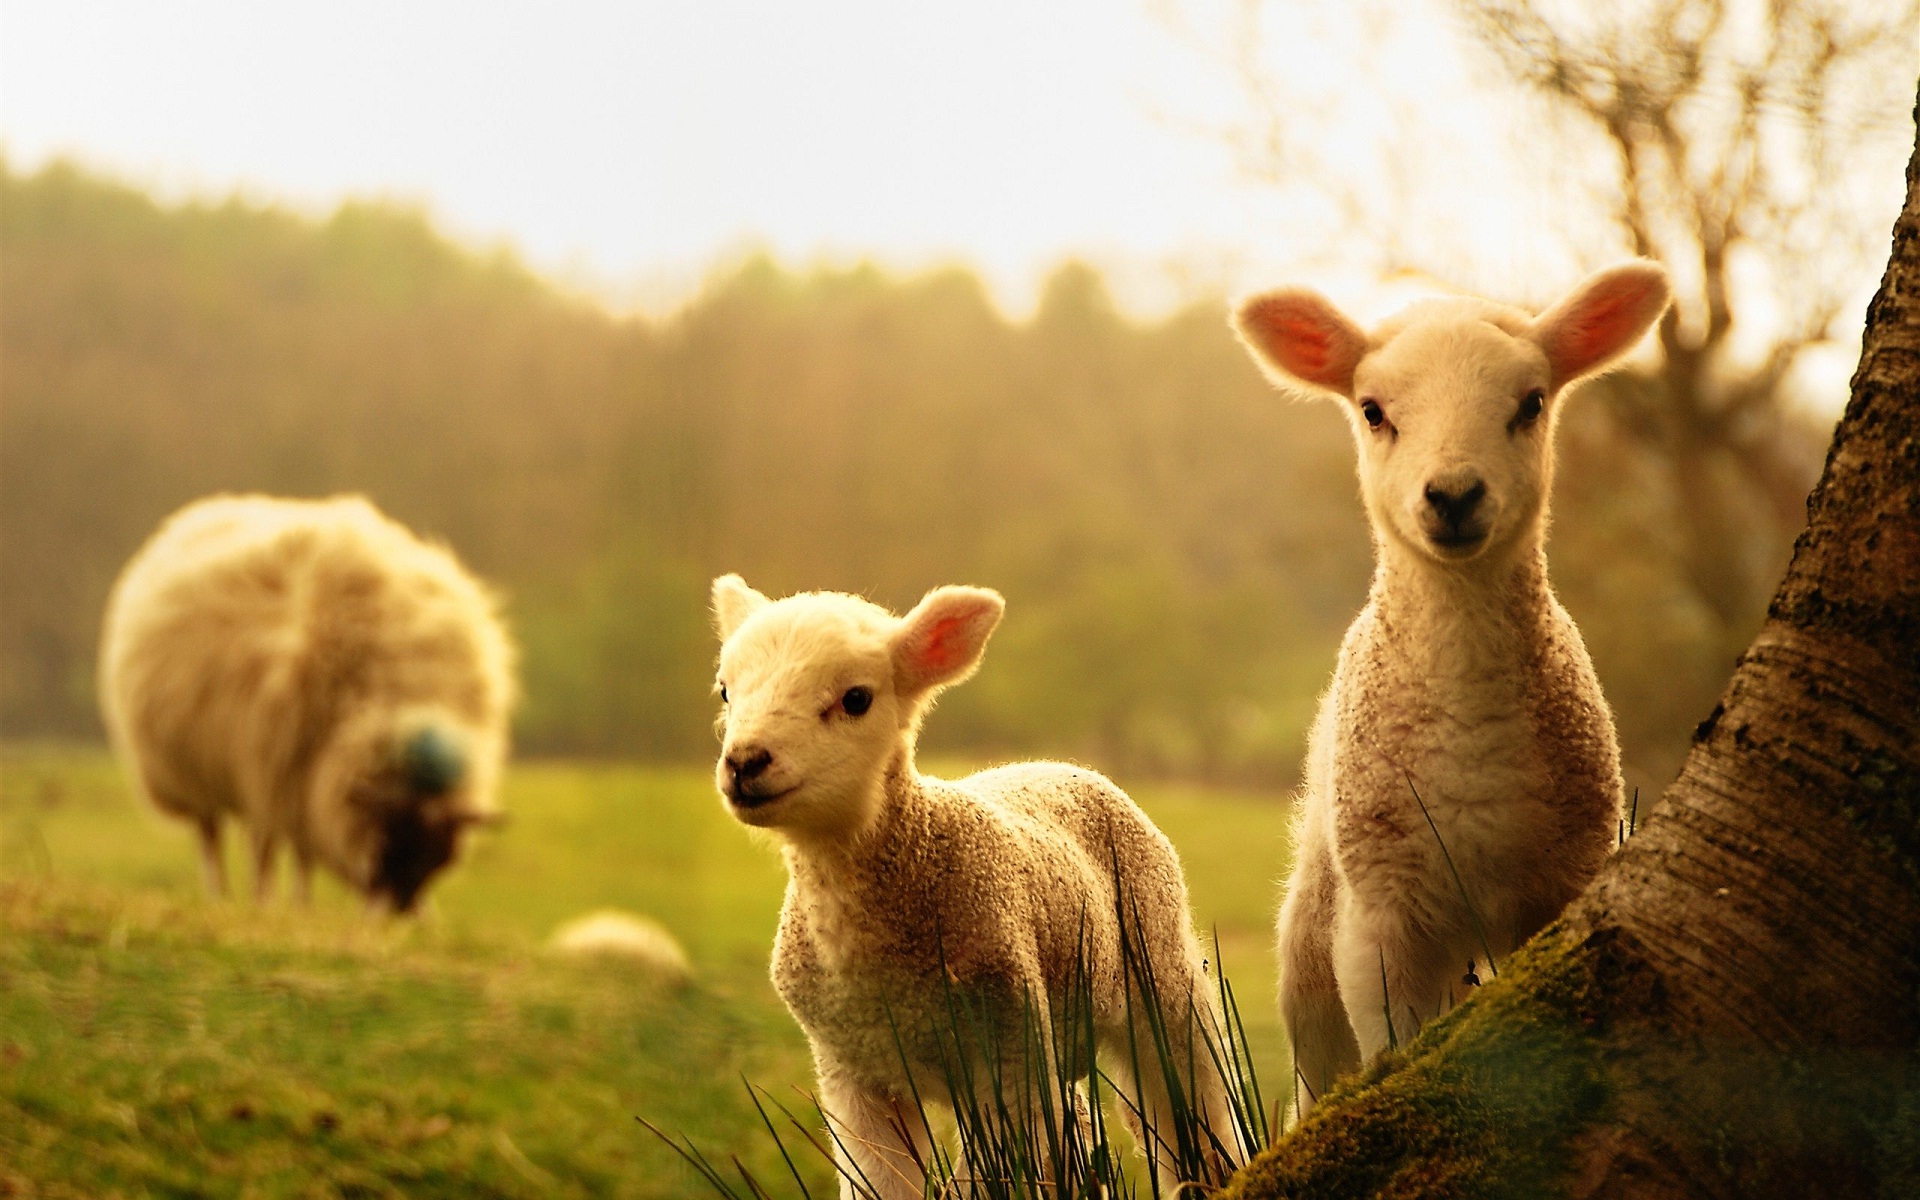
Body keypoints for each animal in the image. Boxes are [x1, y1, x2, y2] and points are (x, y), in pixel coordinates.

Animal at [1236, 259, 1674, 1105]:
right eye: (1373, 411)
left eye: (1531, 403)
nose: (1454, 496)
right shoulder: (1383, 914)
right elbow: (1389, 1047)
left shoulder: (1559, 884)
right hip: (1313, 934)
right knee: (1316, 1070)